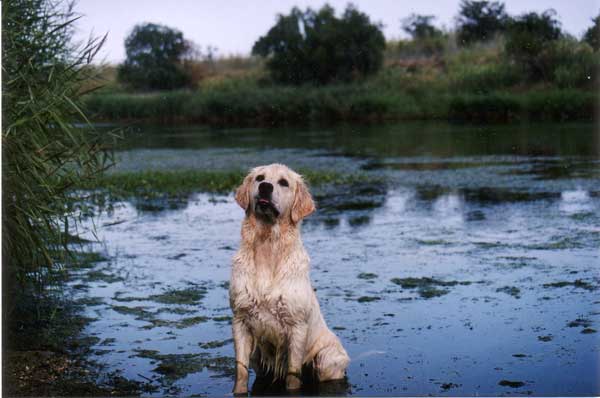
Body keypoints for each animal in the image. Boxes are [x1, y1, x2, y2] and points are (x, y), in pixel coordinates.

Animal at [230, 163, 352, 394]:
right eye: (260, 178)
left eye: (283, 183)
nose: (265, 187)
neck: (268, 244)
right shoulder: (240, 320)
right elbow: (240, 370)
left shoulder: (297, 326)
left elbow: (293, 375)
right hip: (258, 357)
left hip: (326, 358)